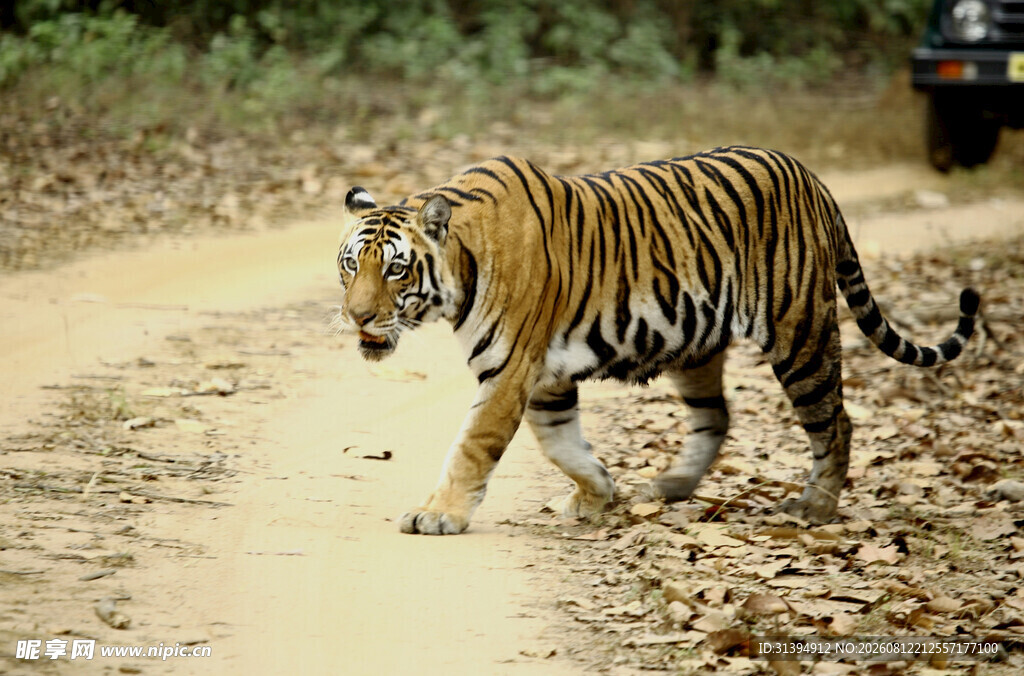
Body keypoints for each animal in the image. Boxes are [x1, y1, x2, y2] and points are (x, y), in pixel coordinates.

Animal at [335, 145, 979, 535]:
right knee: (716, 416)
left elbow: (472, 446)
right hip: (697, 342)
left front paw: (437, 515)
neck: (462, 268)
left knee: (835, 420)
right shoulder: (544, 376)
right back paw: (669, 485)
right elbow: (561, 443)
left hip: (801, 333)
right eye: (349, 265)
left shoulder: (510, 369)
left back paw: (815, 506)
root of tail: (810, 175)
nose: (357, 316)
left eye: (395, 270)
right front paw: (598, 494)